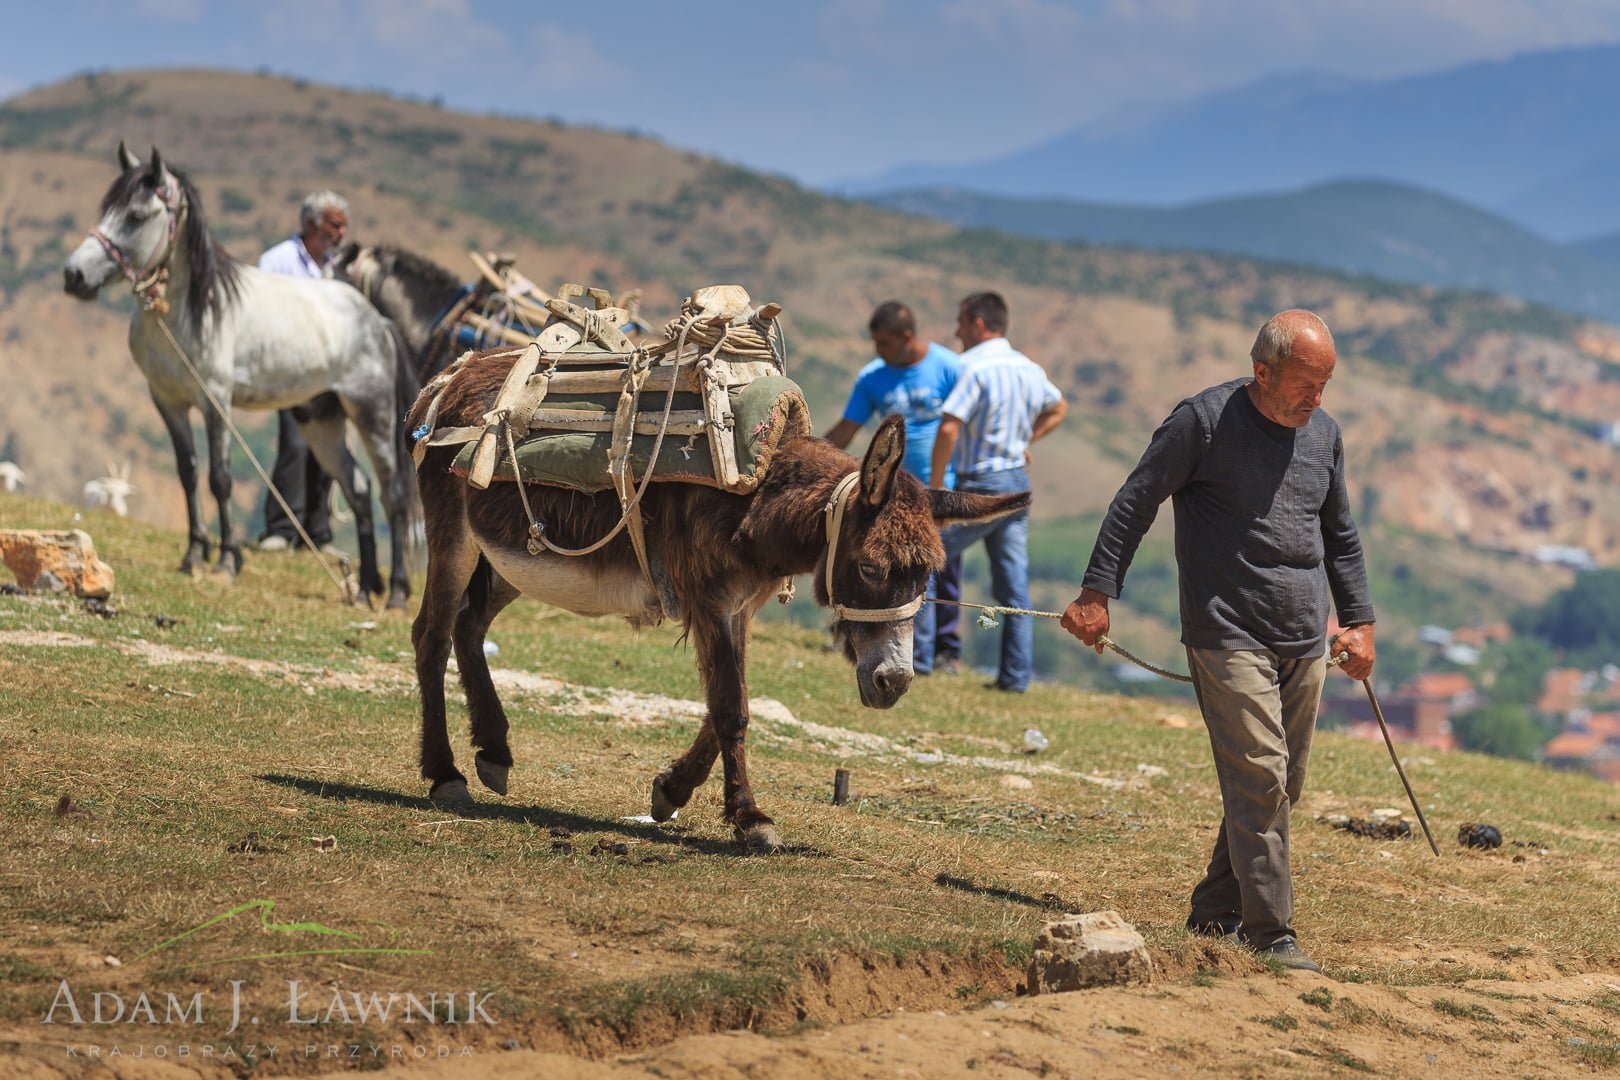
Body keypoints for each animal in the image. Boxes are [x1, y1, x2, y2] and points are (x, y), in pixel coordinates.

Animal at [63, 143, 421, 608]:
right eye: (106, 209)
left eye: (137, 216)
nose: (74, 275)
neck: (191, 310)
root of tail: (378, 321)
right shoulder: (168, 402)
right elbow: (188, 474)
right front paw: (193, 555)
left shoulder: (216, 402)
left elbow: (220, 479)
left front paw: (226, 561)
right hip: (319, 419)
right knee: (358, 489)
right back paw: (363, 588)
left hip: (371, 414)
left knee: (392, 495)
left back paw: (395, 591)